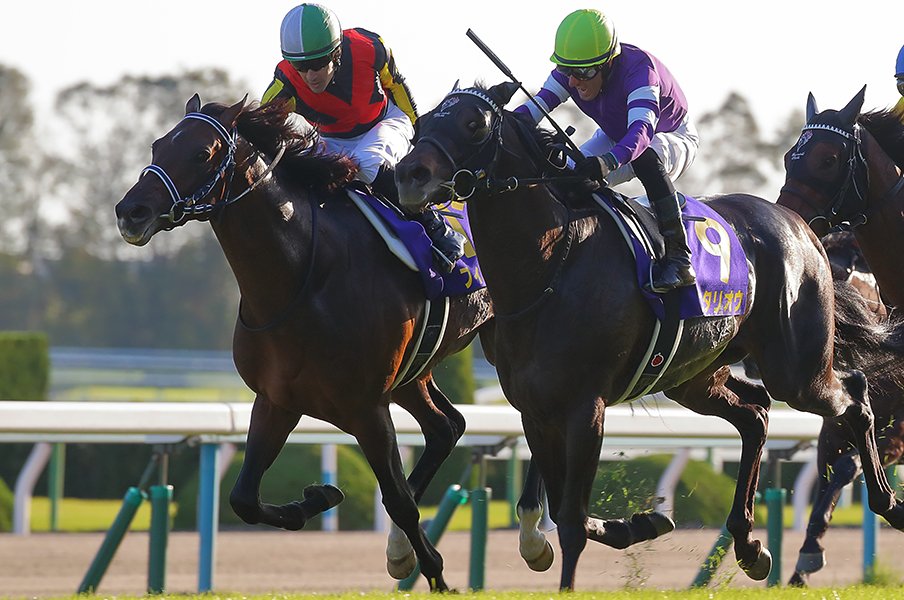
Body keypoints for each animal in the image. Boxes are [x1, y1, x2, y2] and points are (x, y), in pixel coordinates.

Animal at [114, 95, 498, 592]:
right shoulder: (277, 399)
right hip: (413, 374)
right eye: (158, 145)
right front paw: (319, 497)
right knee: (446, 427)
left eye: (202, 153)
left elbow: (398, 500)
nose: (131, 211)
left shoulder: (367, 408)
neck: (304, 276)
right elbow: (243, 498)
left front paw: (434, 573)